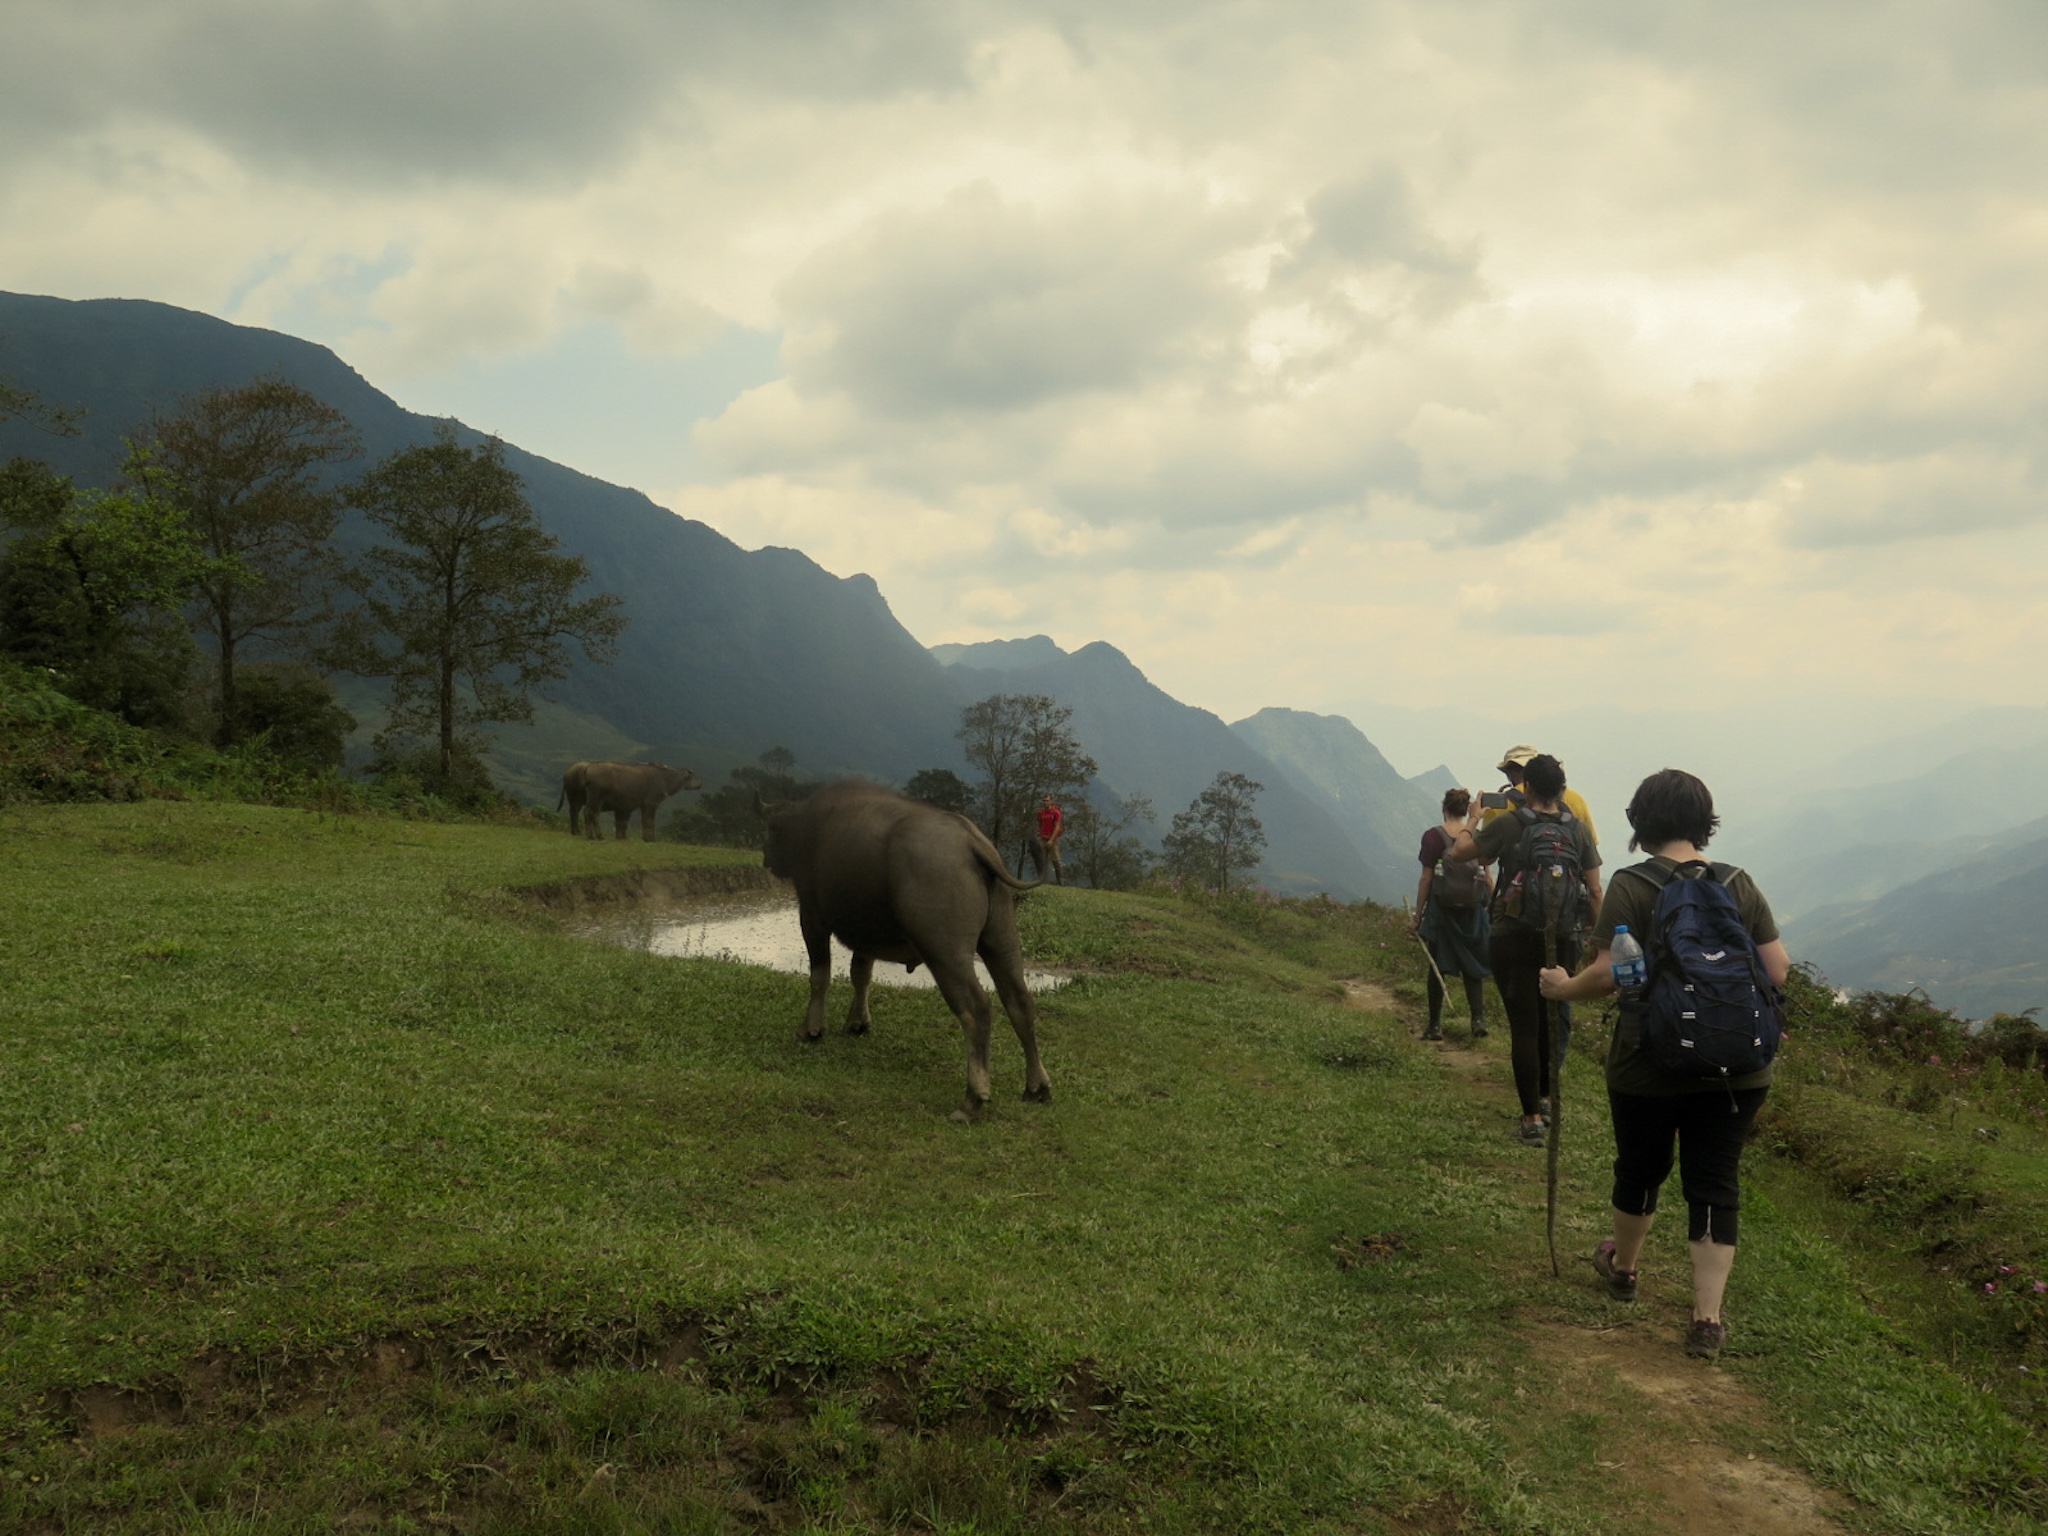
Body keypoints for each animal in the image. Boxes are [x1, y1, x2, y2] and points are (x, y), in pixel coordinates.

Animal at [758, 780, 1053, 1122]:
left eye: (771, 828)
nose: (765, 857)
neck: (807, 825)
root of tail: (971, 842)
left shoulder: (812, 916)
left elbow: (820, 975)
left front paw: (812, 1030)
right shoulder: (866, 935)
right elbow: (861, 974)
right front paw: (858, 1023)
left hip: (945, 951)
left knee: (976, 1009)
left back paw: (973, 1099)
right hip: (1001, 939)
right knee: (1020, 1001)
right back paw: (1037, 1086)